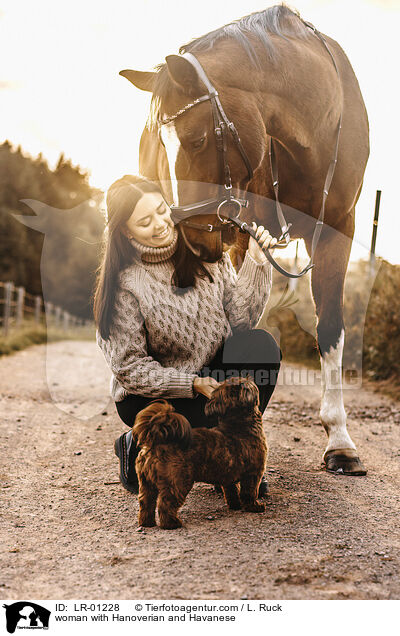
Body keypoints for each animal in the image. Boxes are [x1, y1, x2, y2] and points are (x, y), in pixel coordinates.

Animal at [119, 3, 368, 472]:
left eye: (198, 138)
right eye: (163, 144)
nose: (193, 238)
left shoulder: (337, 228)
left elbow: (330, 327)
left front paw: (340, 441)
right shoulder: (235, 232)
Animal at [133, 376, 268, 528]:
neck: (238, 425)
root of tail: (155, 442)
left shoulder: (228, 476)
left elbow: (232, 492)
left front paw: (235, 505)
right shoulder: (253, 473)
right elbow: (249, 492)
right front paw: (254, 507)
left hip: (146, 482)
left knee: (146, 502)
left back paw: (147, 522)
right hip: (178, 481)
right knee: (165, 503)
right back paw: (172, 524)